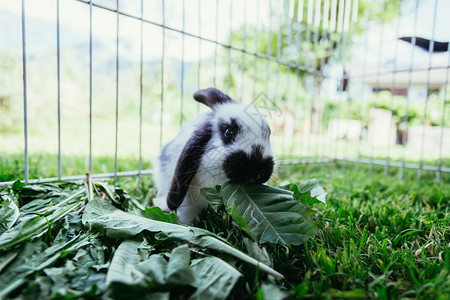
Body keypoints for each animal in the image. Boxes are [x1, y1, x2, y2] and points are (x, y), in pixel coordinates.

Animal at [153, 88, 274, 224]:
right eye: (229, 132)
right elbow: (188, 216)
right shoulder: (187, 202)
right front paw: (188, 225)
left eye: (269, 132)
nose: (258, 169)